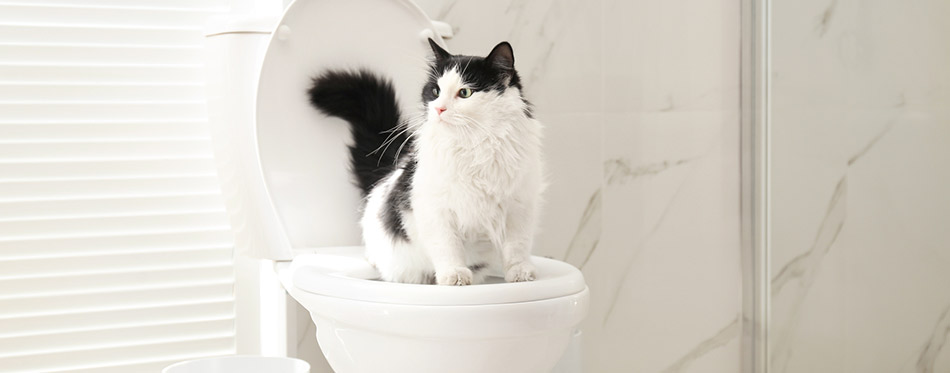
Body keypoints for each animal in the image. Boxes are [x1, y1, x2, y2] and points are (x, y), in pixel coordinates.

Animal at [308, 39, 548, 284]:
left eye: (465, 92)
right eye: (435, 91)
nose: (439, 108)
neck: (475, 146)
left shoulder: (519, 206)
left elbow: (517, 247)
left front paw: (520, 273)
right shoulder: (436, 209)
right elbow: (448, 247)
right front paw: (454, 275)